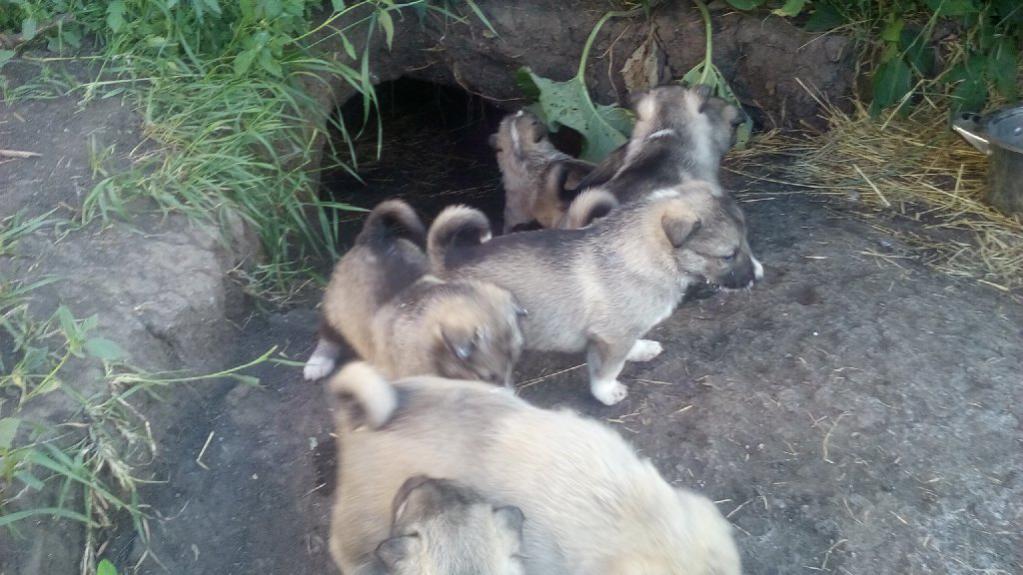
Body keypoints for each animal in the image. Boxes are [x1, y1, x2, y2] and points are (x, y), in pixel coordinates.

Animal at [304, 200, 525, 386]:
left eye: (512, 368)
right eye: (486, 377)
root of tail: (374, 237)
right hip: (335, 305)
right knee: (329, 334)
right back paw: (318, 363)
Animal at [427, 184, 760, 405]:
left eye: (745, 243)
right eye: (728, 255)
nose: (759, 275)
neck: (651, 254)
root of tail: (447, 263)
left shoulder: (623, 331)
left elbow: (630, 346)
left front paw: (641, 349)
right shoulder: (611, 338)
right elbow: (607, 371)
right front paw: (608, 393)